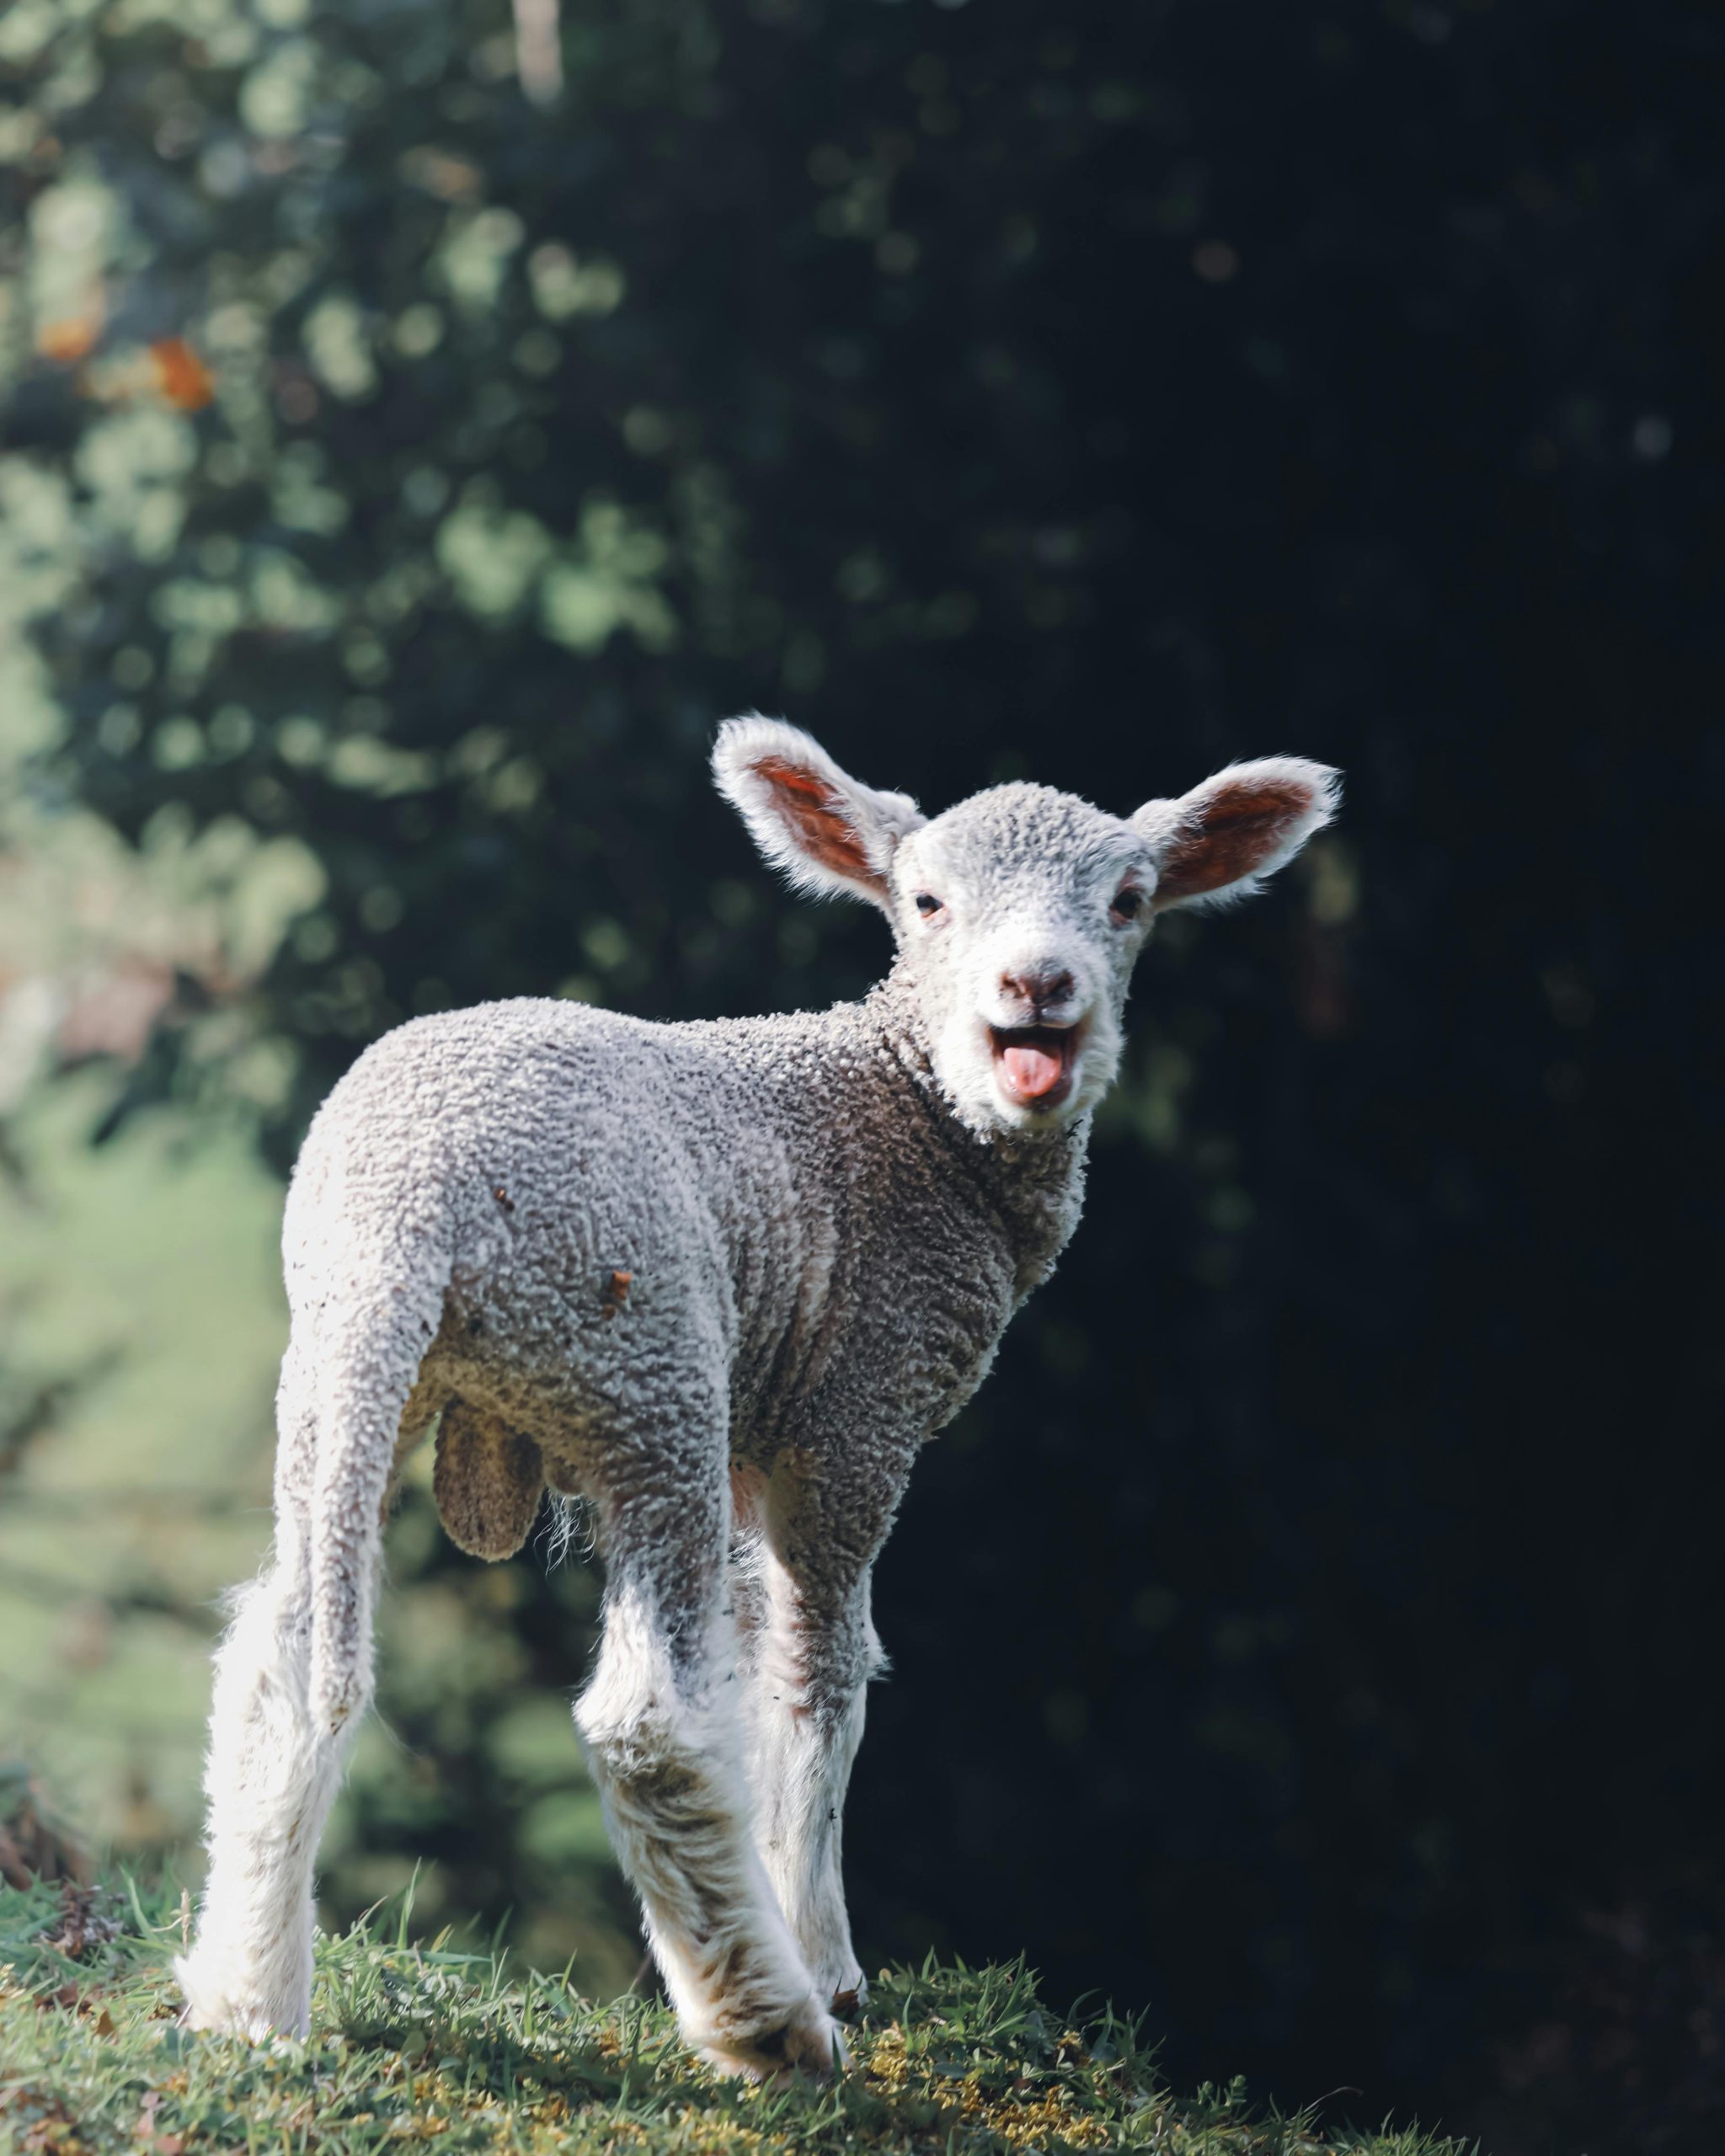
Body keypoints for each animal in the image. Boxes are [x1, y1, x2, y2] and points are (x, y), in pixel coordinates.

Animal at [175, 715, 1339, 2077]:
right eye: (926, 902)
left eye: (1129, 900)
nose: (1037, 986)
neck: (910, 1107)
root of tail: (413, 1204)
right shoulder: (857, 1408)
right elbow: (818, 1678)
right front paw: (828, 1957)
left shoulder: (761, 1421)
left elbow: (755, 1648)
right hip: (645, 1360)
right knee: (649, 1723)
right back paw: (765, 2019)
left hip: (340, 1370)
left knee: (286, 1655)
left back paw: (248, 2000)